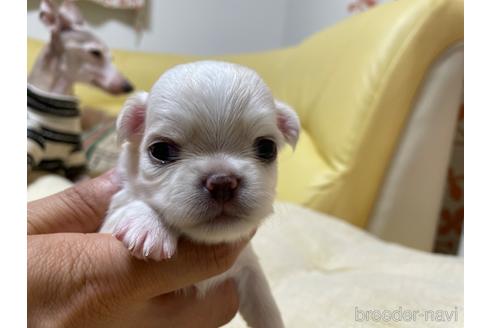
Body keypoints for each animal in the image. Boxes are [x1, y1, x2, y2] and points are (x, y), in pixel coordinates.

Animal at [100, 60, 300, 326]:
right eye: (161, 151)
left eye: (267, 148)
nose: (222, 181)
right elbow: (130, 203)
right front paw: (148, 225)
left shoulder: (249, 269)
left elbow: (266, 308)